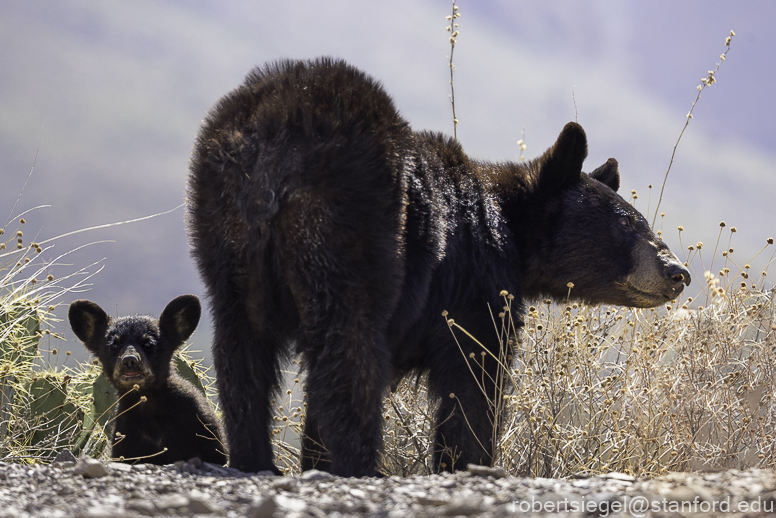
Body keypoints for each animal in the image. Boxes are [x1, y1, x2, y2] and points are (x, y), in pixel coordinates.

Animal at [68, 296, 226, 468]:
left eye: (148, 344)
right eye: (114, 345)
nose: (130, 360)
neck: (148, 405)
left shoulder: (198, 421)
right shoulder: (127, 437)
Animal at [186, 58, 692, 480]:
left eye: (642, 222)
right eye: (627, 223)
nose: (677, 272)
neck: (510, 231)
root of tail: (276, 144)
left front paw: (315, 459)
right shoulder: (473, 288)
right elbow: (473, 378)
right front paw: (472, 462)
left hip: (224, 236)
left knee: (241, 348)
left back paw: (253, 457)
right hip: (350, 230)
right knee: (349, 349)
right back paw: (362, 464)